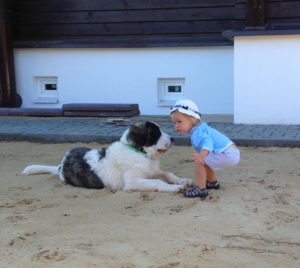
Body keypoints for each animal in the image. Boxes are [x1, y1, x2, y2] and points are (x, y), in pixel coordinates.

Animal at [22, 121, 193, 193]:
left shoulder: (152, 171)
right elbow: (158, 182)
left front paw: (183, 180)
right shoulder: (133, 181)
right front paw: (175, 188)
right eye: (156, 133)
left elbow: (167, 174)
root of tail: (61, 165)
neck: (139, 152)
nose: (173, 139)